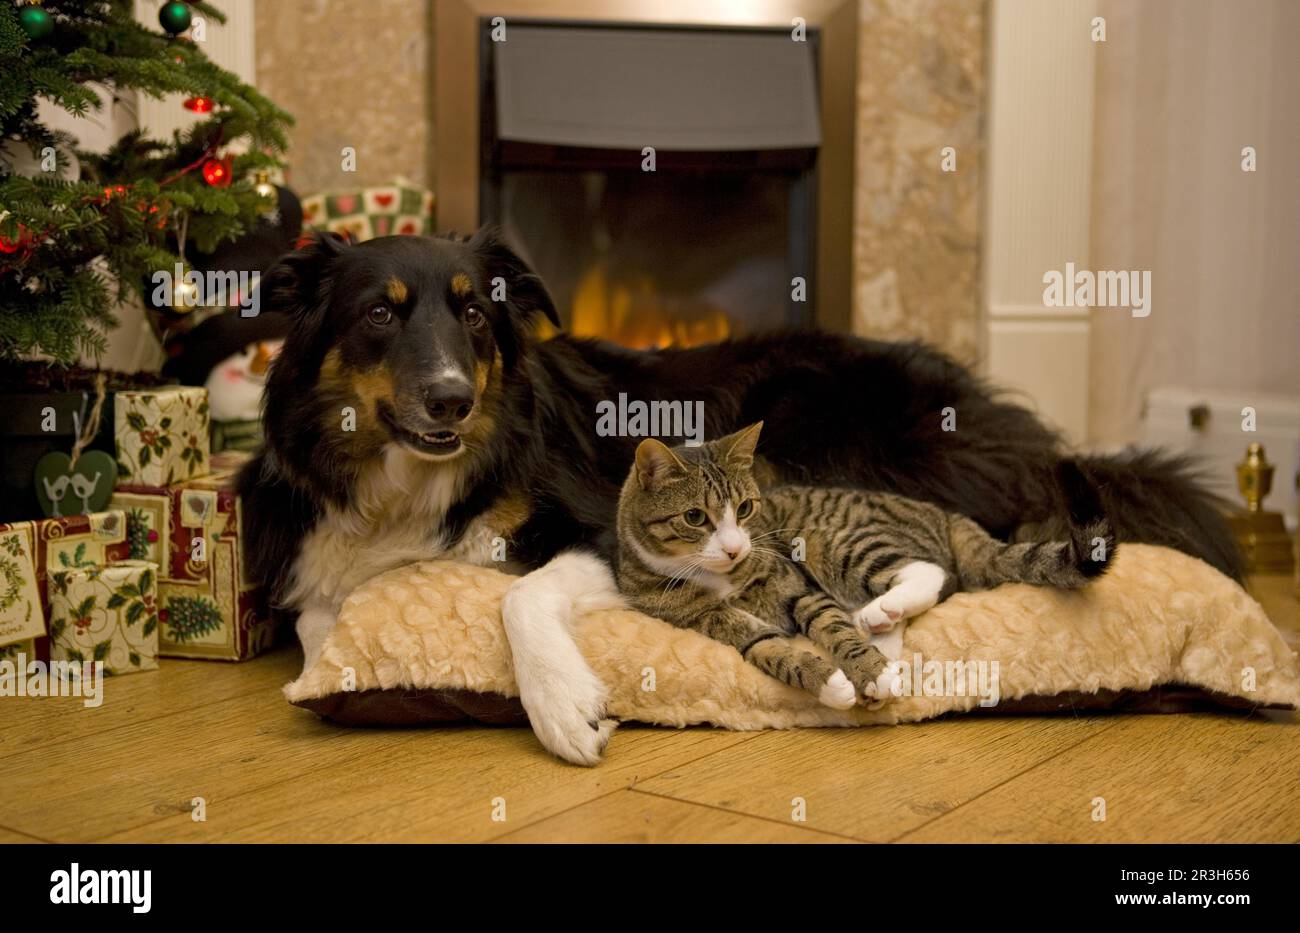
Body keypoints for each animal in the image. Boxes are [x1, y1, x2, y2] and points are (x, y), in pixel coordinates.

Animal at [613, 423, 1112, 706]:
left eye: (747, 509)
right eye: (696, 517)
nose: (735, 548)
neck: (717, 577)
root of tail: (946, 514)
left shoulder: (795, 584)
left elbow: (831, 625)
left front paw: (867, 671)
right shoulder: (703, 620)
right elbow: (765, 647)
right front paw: (830, 682)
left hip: (830, 539)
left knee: (932, 572)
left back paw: (878, 617)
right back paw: (880, 628)